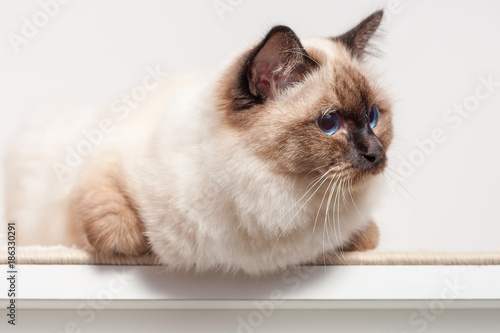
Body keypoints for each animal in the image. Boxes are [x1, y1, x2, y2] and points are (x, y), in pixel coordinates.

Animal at [4, 10, 394, 274]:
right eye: (330, 123)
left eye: (374, 116)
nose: (376, 154)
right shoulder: (103, 161)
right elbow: (111, 220)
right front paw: (132, 246)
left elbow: (369, 236)